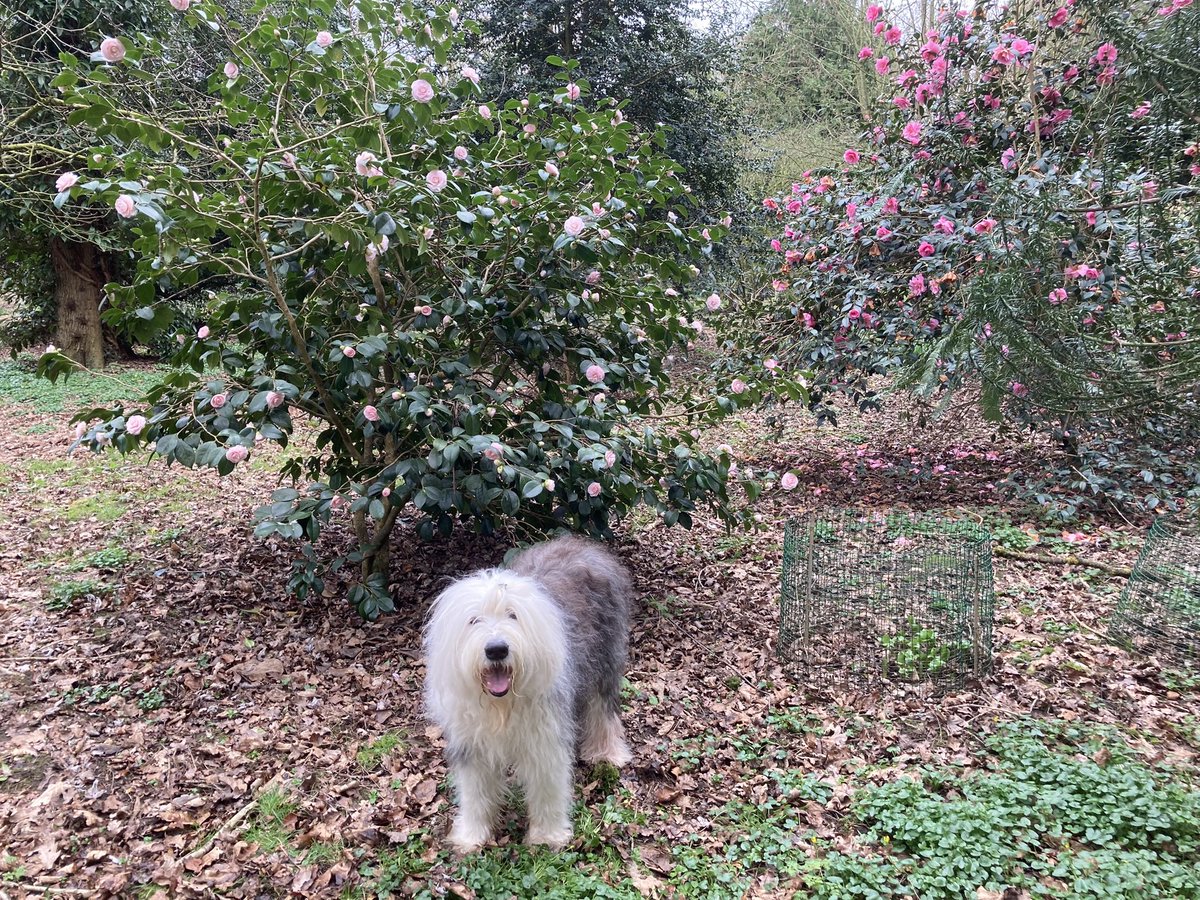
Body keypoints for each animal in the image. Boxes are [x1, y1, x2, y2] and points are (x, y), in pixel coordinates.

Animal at [422, 540, 633, 854]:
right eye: (473, 620)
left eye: (513, 615)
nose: (496, 649)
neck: (501, 705)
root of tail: (582, 544)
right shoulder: (471, 742)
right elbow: (475, 790)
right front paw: (472, 835)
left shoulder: (544, 738)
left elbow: (547, 786)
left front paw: (547, 836)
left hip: (605, 657)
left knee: (602, 709)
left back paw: (606, 752)